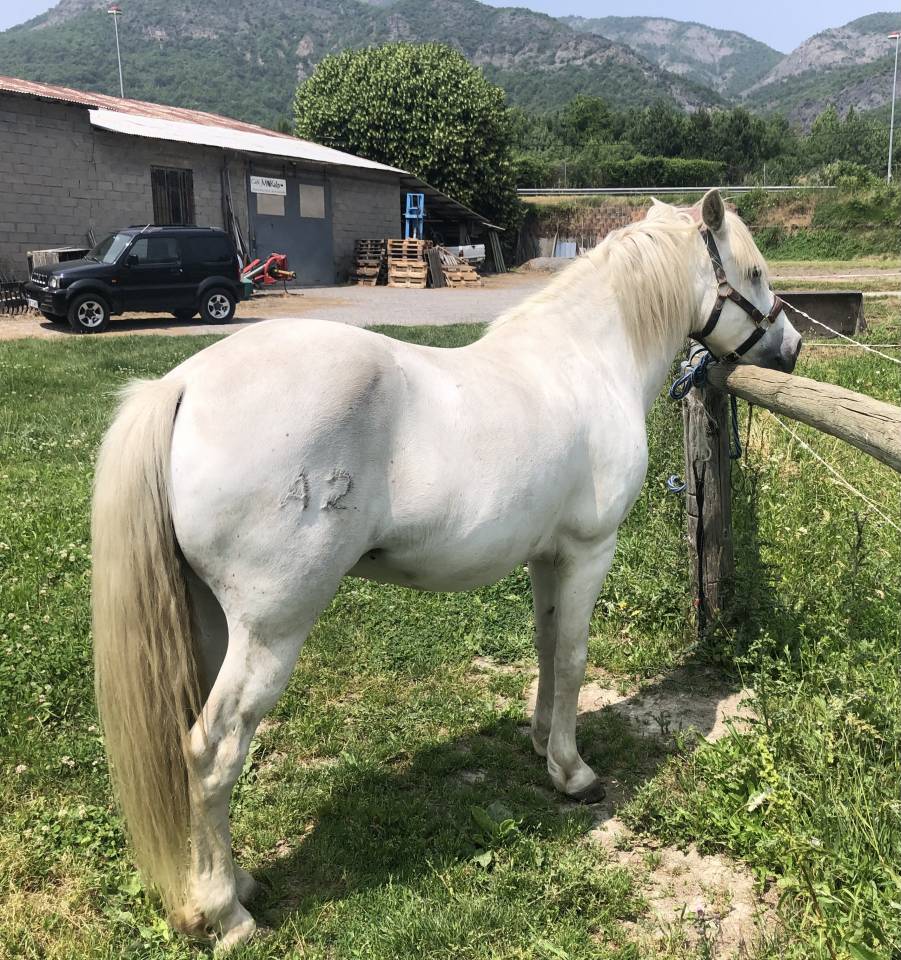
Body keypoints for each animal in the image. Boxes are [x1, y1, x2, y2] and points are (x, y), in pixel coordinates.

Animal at [91, 190, 801, 951]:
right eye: (754, 272)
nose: (792, 348)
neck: (585, 361)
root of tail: (184, 385)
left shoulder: (547, 557)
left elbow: (546, 649)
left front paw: (540, 744)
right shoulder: (589, 550)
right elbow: (574, 657)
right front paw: (573, 773)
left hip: (209, 621)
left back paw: (233, 883)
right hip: (270, 628)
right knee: (213, 750)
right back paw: (228, 914)